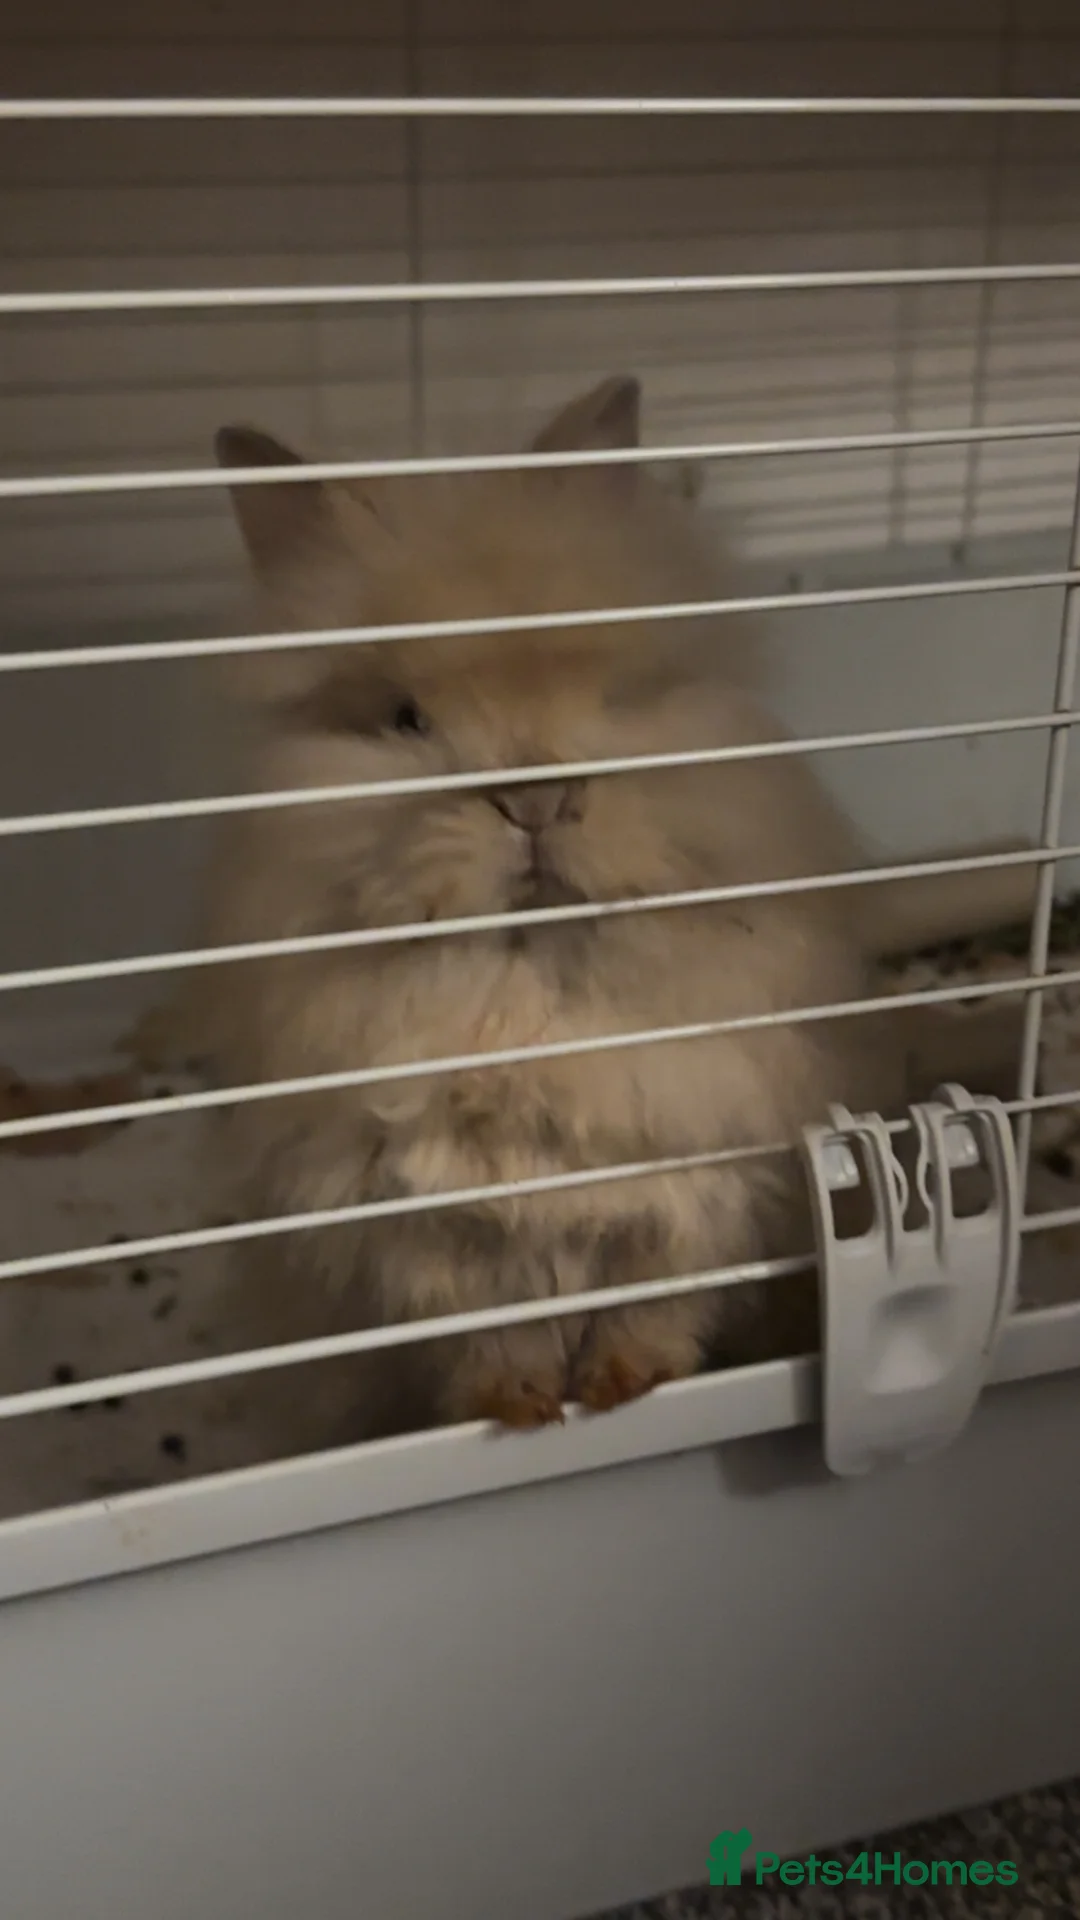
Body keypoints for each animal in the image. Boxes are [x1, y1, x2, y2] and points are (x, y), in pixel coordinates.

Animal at [186, 372, 976, 1451]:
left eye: (608, 692)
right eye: (404, 719)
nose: (537, 800)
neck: (535, 989)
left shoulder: (691, 1197)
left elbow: (651, 1309)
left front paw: (619, 1389)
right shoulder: (435, 1244)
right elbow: (490, 1338)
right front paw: (521, 1407)